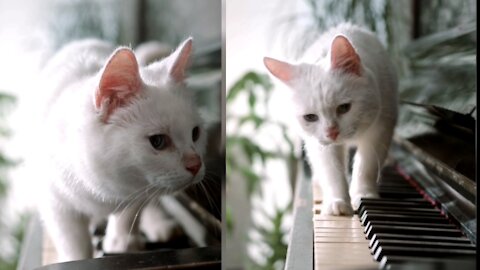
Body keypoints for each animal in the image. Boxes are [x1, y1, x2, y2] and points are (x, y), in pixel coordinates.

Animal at [34, 38, 205, 262]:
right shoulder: (55, 203)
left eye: (195, 133)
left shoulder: (136, 189)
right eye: (158, 141)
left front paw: (121, 243)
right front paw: (77, 258)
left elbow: (130, 213)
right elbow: (73, 241)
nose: (196, 164)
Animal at [262, 24, 398, 216]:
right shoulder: (320, 145)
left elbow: (367, 165)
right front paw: (337, 202)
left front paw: (364, 194)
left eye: (344, 107)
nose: (332, 132)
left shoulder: (381, 128)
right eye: (310, 117)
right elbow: (332, 172)